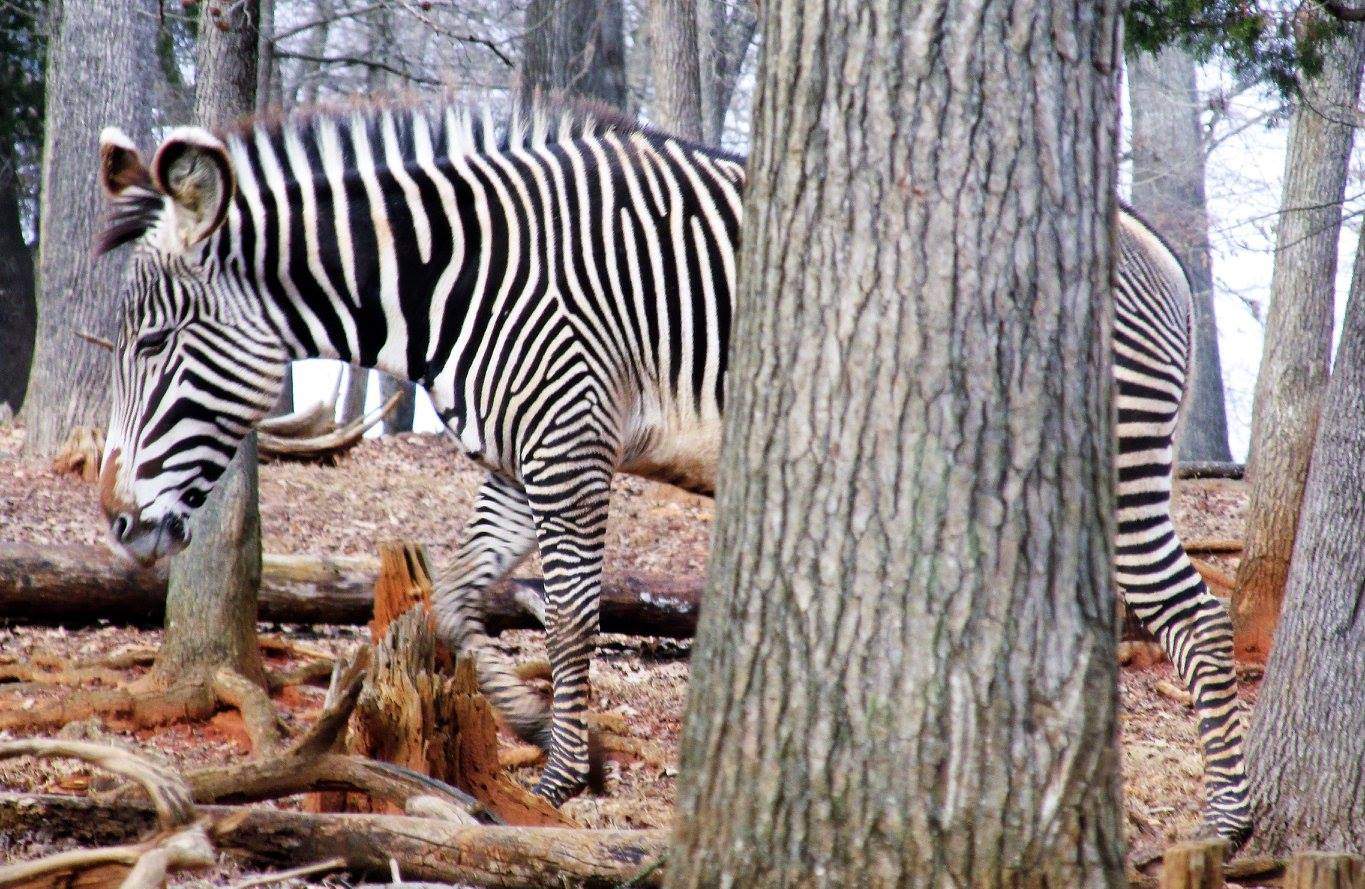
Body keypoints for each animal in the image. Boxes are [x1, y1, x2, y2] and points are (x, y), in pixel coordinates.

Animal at [92, 99, 1249, 839]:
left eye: (152, 343)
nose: (117, 525)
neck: (454, 280)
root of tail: (1148, 239)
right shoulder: (512, 461)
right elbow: (459, 603)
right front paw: (532, 726)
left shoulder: (570, 448)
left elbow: (568, 614)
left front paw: (564, 777)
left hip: (1120, 459)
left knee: (1196, 616)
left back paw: (1229, 824)